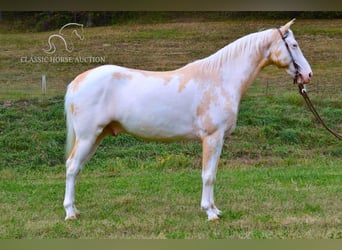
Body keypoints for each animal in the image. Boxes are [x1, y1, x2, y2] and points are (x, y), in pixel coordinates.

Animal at [62, 20, 312, 222]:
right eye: (294, 45)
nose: (308, 75)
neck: (220, 78)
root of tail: (76, 81)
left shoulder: (218, 139)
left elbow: (213, 173)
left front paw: (215, 209)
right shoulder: (212, 137)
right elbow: (208, 175)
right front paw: (210, 213)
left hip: (96, 137)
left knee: (78, 169)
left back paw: (75, 209)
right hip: (87, 137)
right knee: (72, 167)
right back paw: (70, 213)